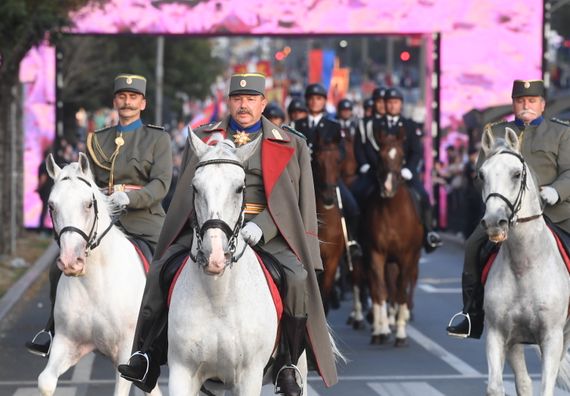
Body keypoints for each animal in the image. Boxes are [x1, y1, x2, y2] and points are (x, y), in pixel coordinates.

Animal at [38, 153, 161, 396]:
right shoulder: (66, 342)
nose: (70, 261)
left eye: (88, 204)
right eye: (51, 205)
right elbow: (45, 382)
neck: (95, 283)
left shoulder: (125, 353)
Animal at [166, 135, 308, 394]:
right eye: (195, 187)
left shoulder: (248, 376)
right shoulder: (182, 372)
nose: (214, 255)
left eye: (240, 188)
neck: (218, 297)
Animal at [360, 131, 422, 346]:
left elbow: (401, 290)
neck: (392, 212)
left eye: (402, 157)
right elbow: (381, 291)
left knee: (407, 283)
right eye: (380, 156)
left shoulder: (406, 256)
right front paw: (381, 330)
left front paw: (401, 332)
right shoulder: (375, 254)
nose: (387, 187)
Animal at [480, 128, 568, 394]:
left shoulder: (552, 338)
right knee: (524, 381)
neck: (524, 264)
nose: (494, 222)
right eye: (481, 175)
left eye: (516, 174)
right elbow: (496, 387)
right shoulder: (499, 334)